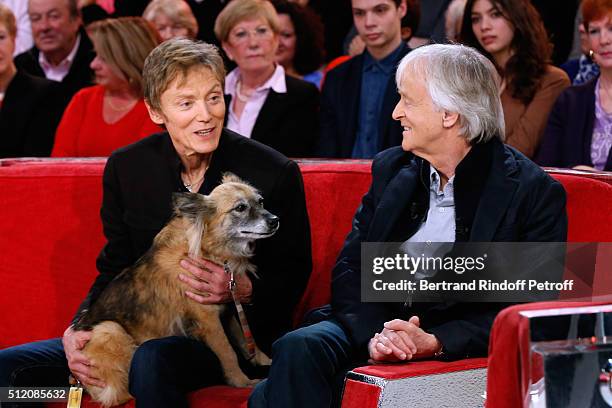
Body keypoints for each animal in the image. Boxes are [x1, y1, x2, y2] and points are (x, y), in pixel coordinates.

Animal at [72, 174, 280, 406]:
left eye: (261, 202)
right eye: (240, 208)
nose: (275, 220)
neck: (206, 246)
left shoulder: (227, 308)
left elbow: (245, 340)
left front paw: (265, 360)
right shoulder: (209, 320)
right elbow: (228, 352)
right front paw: (242, 382)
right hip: (108, 329)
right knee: (120, 395)